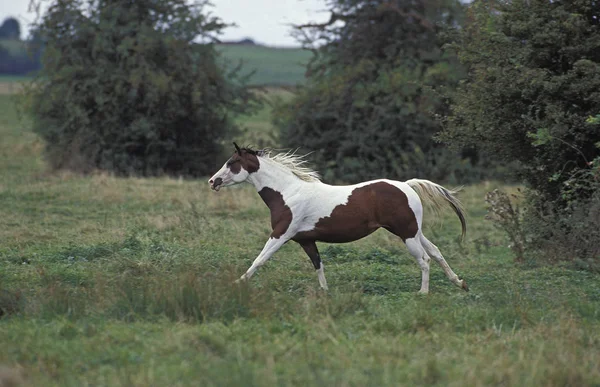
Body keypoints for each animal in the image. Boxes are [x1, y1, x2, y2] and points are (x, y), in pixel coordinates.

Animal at [209, 142, 472, 294]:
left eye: (232, 162)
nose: (213, 181)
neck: (287, 193)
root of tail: (407, 185)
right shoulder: (306, 240)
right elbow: (318, 265)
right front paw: (325, 293)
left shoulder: (281, 234)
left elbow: (260, 259)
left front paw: (236, 284)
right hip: (414, 231)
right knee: (436, 252)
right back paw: (459, 283)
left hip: (406, 233)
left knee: (425, 259)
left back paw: (423, 293)